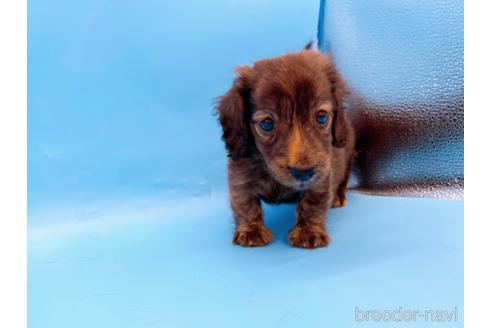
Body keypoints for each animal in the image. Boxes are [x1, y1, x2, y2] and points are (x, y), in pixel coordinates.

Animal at [217, 48, 356, 249]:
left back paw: (337, 197)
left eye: (321, 116)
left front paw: (308, 232)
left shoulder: (321, 178)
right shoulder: (239, 176)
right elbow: (245, 204)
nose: (304, 173)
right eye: (267, 124)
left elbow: (313, 204)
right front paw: (251, 230)